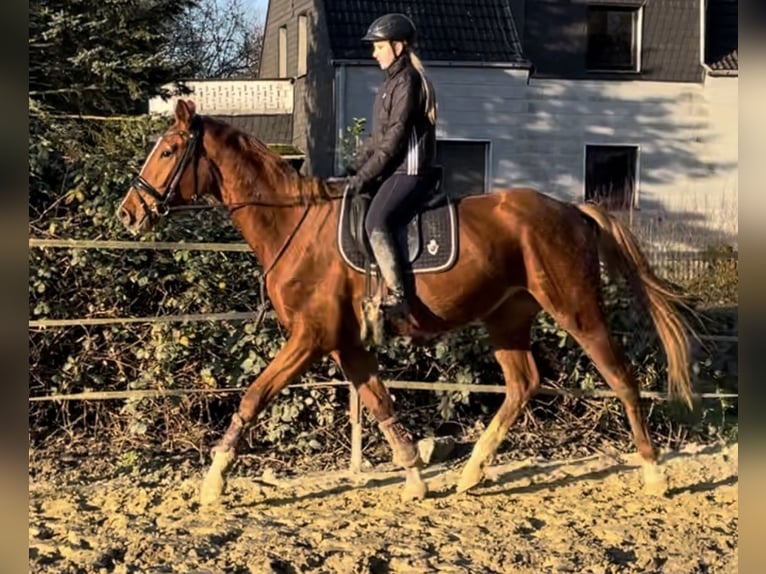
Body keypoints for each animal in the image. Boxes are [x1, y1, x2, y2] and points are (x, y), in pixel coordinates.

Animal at [117, 101, 700, 506]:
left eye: (167, 151)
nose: (128, 212)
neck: (294, 225)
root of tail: (573, 210)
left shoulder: (310, 338)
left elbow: (254, 396)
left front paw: (213, 483)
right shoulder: (346, 345)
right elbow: (380, 404)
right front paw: (416, 481)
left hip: (575, 309)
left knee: (620, 376)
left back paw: (653, 474)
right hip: (506, 317)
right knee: (523, 384)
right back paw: (470, 474)